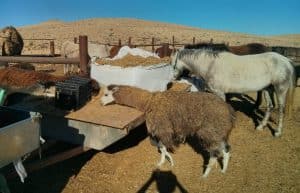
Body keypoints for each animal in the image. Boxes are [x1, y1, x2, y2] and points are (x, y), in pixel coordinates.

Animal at [102, 85, 236, 177]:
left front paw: (167, 162)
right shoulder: (162, 131)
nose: (101, 102)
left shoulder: (163, 128)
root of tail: (229, 111)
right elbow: (161, 147)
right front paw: (165, 162)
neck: (149, 101)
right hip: (218, 132)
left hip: (209, 132)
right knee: (226, 149)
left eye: (106, 94)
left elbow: (162, 147)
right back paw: (223, 170)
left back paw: (204, 176)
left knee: (214, 154)